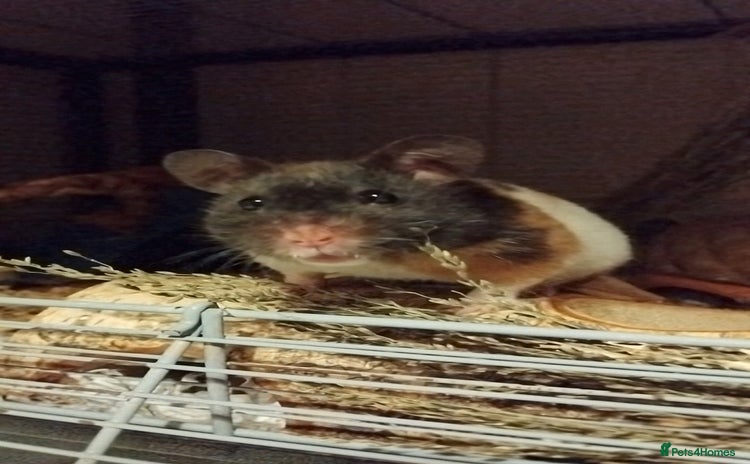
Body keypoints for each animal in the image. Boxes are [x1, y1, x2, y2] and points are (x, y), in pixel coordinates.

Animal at [163, 135, 632, 296]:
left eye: (377, 197)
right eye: (252, 204)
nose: (309, 237)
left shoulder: (534, 242)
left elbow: (508, 282)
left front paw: (470, 309)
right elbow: (296, 273)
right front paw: (301, 283)